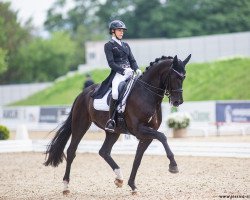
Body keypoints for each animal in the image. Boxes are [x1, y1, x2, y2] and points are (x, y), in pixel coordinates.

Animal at [44, 54, 191, 195]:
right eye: (175, 76)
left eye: (184, 76)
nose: (178, 101)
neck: (146, 94)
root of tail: (83, 93)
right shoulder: (139, 130)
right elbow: (162, 137)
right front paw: (173, 165)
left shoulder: (146, 135)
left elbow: (138, 159)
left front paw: (132, 186)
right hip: (80, 124)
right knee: (71, 151)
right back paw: (65, 187)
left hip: (113, 131)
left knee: (104, 151)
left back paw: (119, 178)